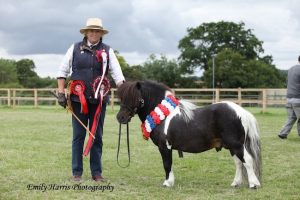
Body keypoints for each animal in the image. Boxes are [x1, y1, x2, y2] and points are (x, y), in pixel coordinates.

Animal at [116, 80, 262, 188]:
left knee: (247, 160)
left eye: (135, 98)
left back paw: (254, 184)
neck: (163, 116)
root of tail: (241, 111)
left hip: (237, 145)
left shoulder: (165, 147)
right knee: (239, 163)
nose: (120, 118)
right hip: (232, 146)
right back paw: (235, 183)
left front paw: (167, 183)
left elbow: (167, 164)